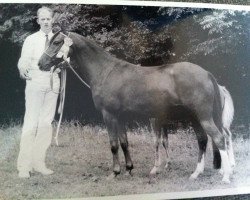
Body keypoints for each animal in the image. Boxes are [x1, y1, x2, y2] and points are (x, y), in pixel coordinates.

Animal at [37, 31, 234, 183]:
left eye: (56, 42)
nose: (41, 63)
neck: (106, 71)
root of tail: (206, 73)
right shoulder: (120, 117)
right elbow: (124, 143)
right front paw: (129, 169)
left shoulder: (109, 115)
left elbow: (114, 144)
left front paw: (115, 172)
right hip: (195, 118)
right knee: (203, 140)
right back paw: (196, 174)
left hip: (204, 117)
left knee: (219, 139)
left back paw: (225, 177)